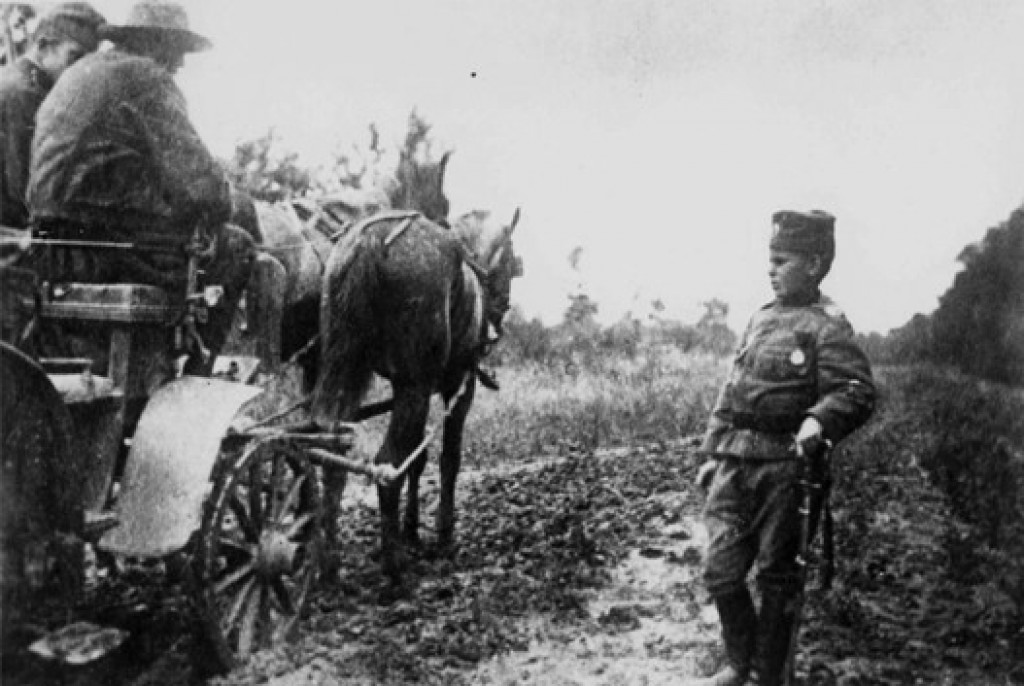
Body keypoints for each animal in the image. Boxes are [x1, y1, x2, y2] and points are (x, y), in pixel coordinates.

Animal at [309, 206, 520, 581]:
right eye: (510, 259)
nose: (501, 312)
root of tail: (369, 242)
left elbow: (417, 461)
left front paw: (411, 530)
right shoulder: (455, 389)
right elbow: (448, 460)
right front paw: (443, 534)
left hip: (348, 374)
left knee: (332, 451)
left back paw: (330, 564)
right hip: (415, 388)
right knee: (387, 466)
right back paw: (395, 566)